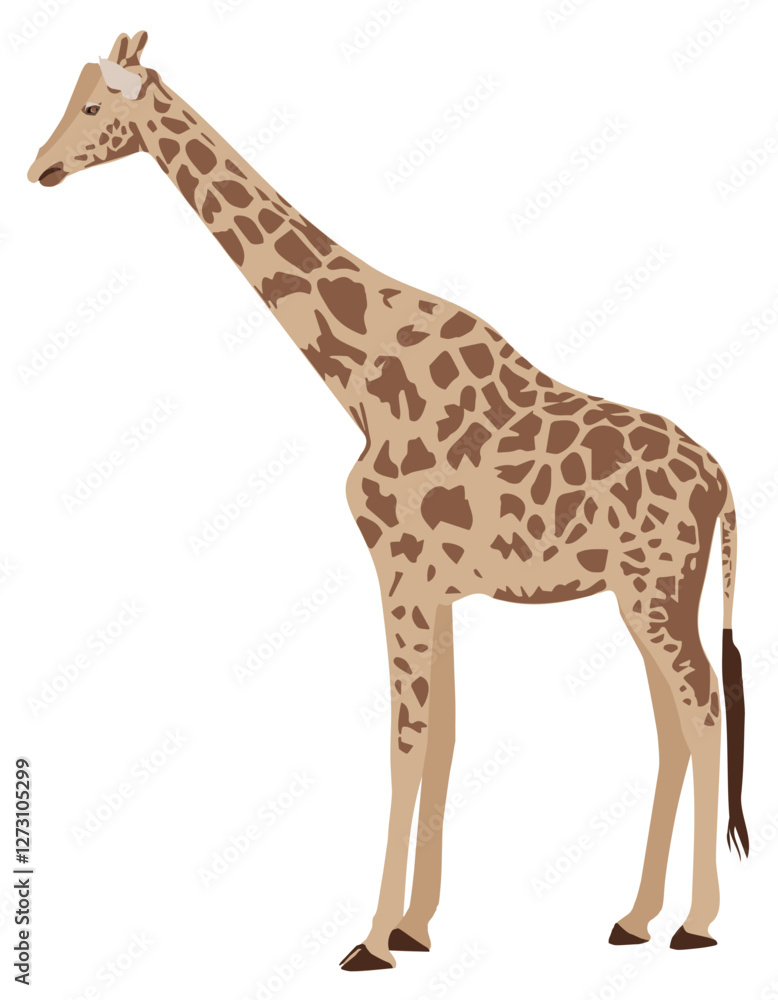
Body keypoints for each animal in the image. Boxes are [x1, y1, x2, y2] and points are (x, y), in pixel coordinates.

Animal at [27, 31, 749, 970]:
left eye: (91, 105)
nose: (40, 168)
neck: (362, 377)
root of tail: (722, 480)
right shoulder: (434, 587)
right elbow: (441, 739)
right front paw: (415, 925)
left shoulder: (399, 570)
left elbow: (405, 744)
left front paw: (371, 938)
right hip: (651, 593)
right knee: (674, 725)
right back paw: (635, 918)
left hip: (655, 589)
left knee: (702, 713)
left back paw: (695, 924)